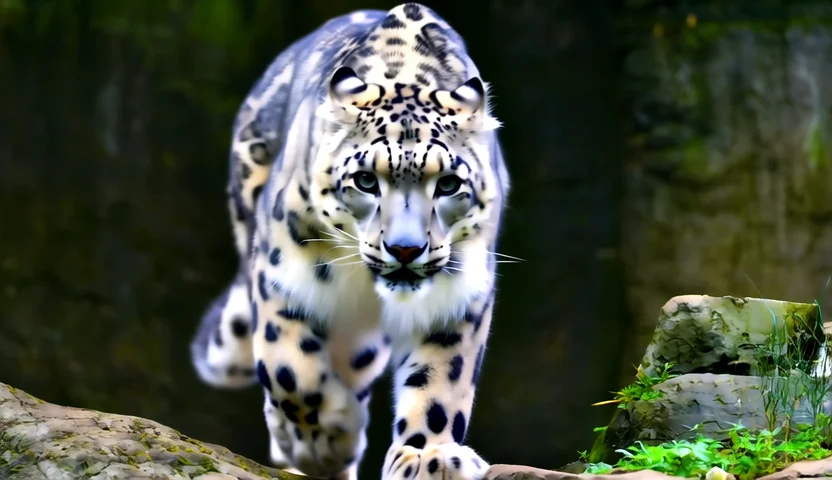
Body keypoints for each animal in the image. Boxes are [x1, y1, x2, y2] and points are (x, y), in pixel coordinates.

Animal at [189, 4, 510, 479]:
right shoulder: (284, 273)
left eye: (449, 183)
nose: (405, 250)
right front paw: (327, 441)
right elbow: (289, 368)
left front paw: (428, 455)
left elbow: (441, 379)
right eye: (365, 180)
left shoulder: (458, 293)